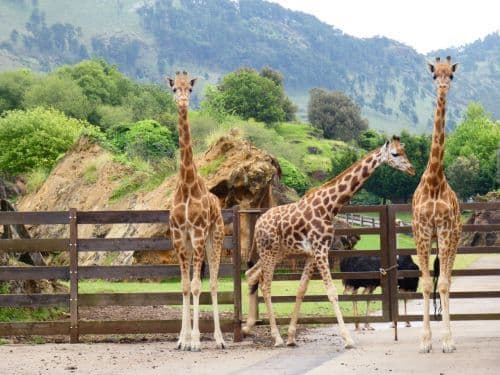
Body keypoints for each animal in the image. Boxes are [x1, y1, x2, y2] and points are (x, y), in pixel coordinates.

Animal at [242, 137, 414, 348]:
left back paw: (247, 327)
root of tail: (258, 223)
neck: (329, 207)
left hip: (279, 252)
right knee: (265, 285)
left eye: (404, 151)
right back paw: (276, 337)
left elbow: (301, 290)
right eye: (395, 154)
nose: (411, 169)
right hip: (269, 252)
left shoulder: (311, 254)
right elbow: (332, 291)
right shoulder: (321, 250)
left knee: (251, 274)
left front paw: (291, 336)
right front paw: (348, 339)